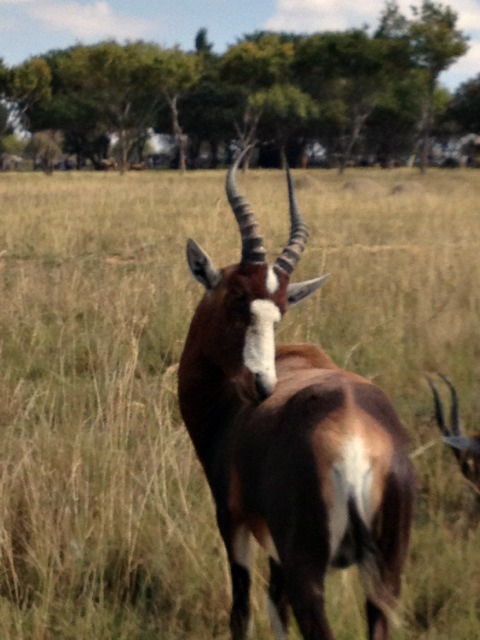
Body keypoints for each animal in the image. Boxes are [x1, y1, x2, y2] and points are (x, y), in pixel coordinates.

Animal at [178, 151, 414, 640]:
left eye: (280, 310)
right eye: (237, 295)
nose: (261, 385)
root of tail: (356, 442)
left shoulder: (232, 520)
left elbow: (243, 610)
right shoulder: (276, 552)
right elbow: (275, 607)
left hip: (311, 573)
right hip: (387, 573)